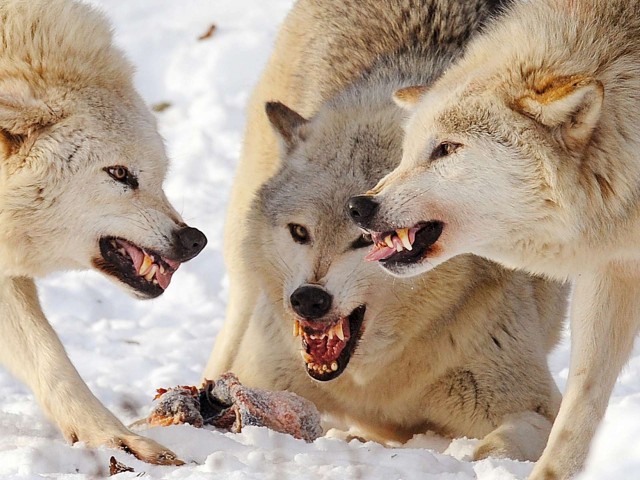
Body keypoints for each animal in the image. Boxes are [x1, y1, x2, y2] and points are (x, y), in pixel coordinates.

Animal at [205, 0, 568, 463]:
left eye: (365, 238)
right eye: (300, 232)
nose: (308, 299)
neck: (377, 380)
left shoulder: (535, 403)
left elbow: (499, 445)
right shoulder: (266, 377)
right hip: (243, 273)